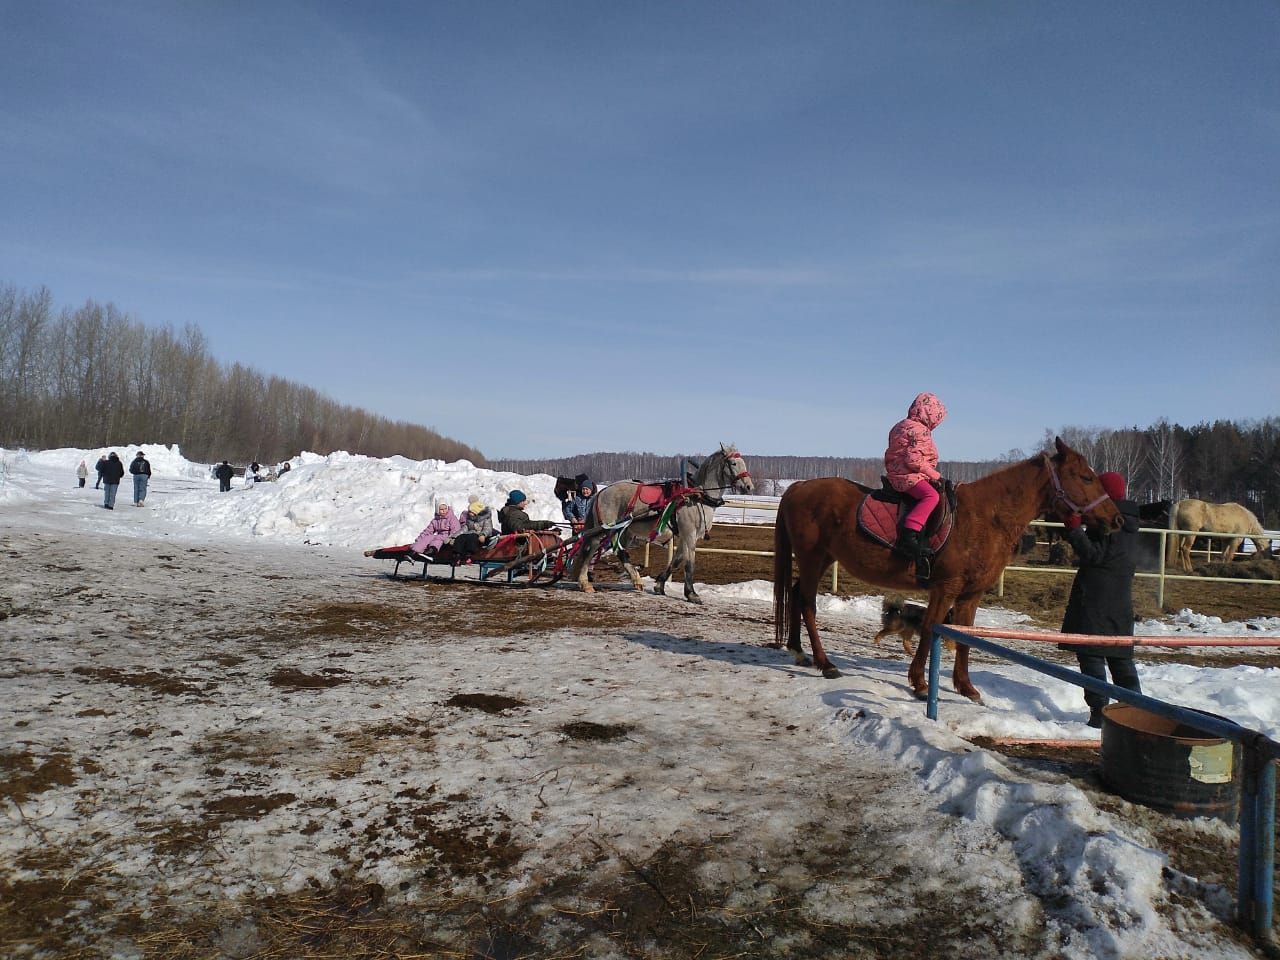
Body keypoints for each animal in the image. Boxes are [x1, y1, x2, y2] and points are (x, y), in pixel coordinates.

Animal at [568, 442, 752, 601]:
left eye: (744, 462)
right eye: (733, 463)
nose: (749, 486)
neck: (696, 496)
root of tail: (602, 491)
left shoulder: (685, 536)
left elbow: (676, 560)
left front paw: (660, 584)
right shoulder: (689, 533)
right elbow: (689, 564)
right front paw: (691, 593)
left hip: (625, 531)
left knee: (619, 551)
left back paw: (636, 579)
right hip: (606, 528)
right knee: (591, 548)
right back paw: (584, 583)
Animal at [768, 440, 1121, 701]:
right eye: (1086, 477)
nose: (1115, 520)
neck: (986, 517)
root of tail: (799, 486)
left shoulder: (970, 595)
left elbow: (965, 637)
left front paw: (966, 687)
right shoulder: (945, 588)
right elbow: (929, 630)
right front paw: (920, 684)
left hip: (822, 559)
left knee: (797, 595)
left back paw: (799, 652)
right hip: (812, 558)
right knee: (807, 604)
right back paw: (825, 663)